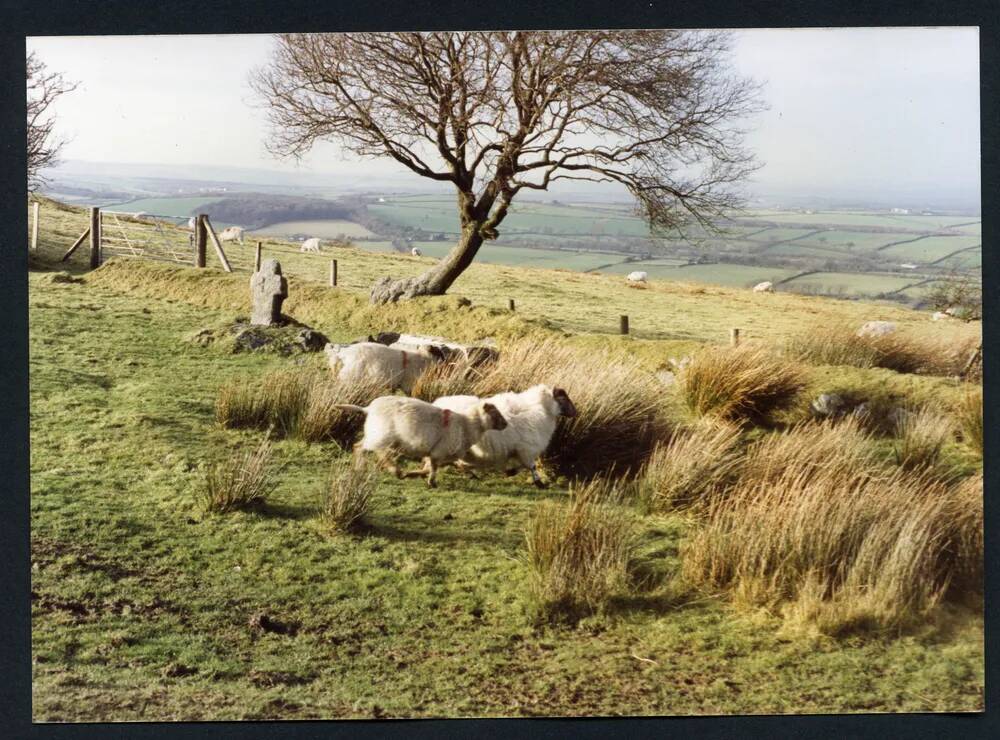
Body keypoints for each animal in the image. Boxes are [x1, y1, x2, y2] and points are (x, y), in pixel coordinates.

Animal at [340, 396, 508, 488]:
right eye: (495, 413)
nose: (506, 424)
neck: (467, 425)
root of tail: (368, 408)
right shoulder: (439, 452)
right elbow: (433, 468)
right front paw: (431, 482)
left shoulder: (436, 454)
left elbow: (430, 468)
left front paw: (416, 475)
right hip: (383, 435)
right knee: (370, 450)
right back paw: (391, 470)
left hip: (378, 435)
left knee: (361, 447)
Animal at [432, 384, 580, 488]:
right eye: (563, 398)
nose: (576, 413)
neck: (542, 409)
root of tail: (436, 404)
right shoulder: (527, 448)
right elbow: (531, 466)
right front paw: (539, 483)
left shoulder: (519, 449)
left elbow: (523, 466)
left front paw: (510, 472)